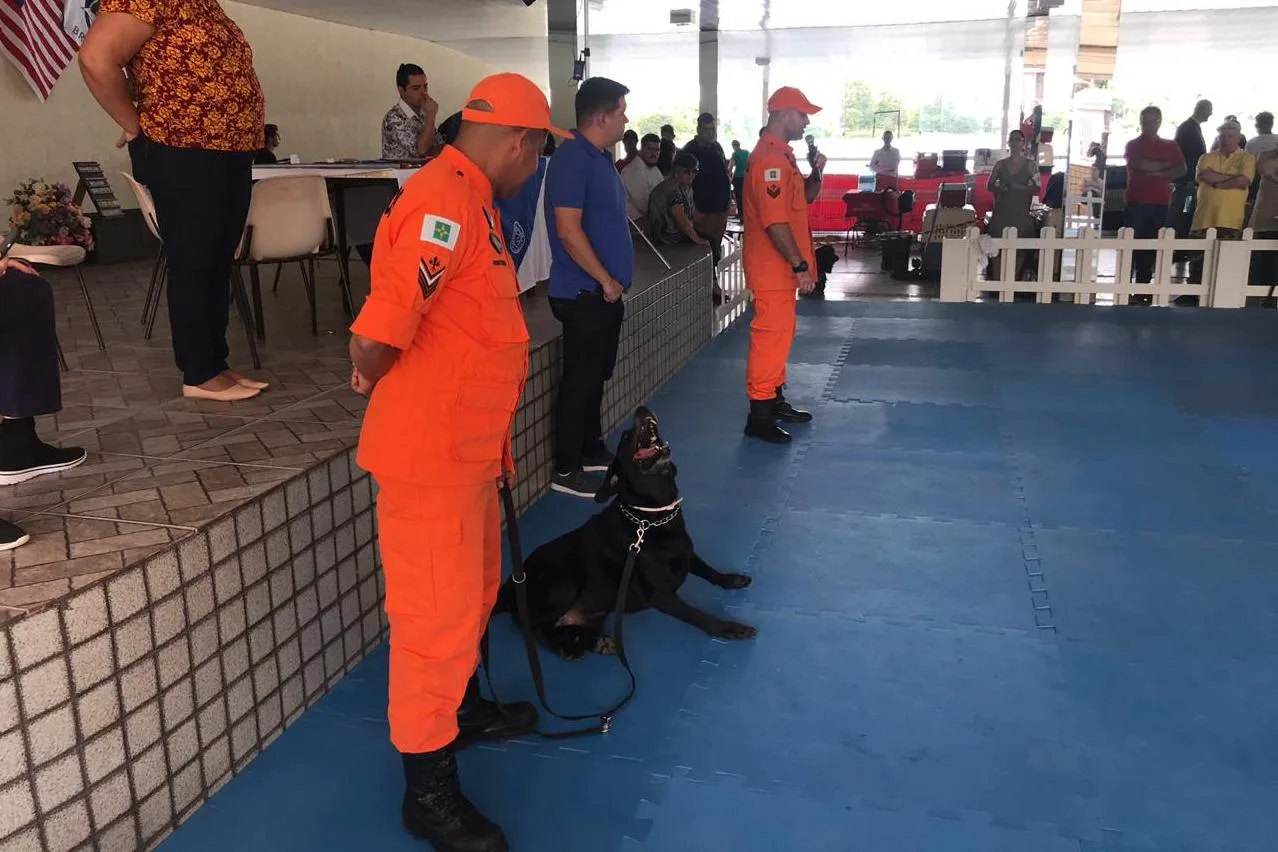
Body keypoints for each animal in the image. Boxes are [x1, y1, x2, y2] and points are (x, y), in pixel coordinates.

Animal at [495, 406, 756, 659]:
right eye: (625, 437)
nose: (641, 408)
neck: (651, 517)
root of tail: (509, 586)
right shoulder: (661, 595)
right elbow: (698, 615)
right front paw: (730, 628)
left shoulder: (686, 554)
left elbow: (710, 571)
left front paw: (732, 579)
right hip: (564, 582)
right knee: (536, 627)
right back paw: (568, 649)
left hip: (596, 607)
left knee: (568, 627)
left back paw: (596, 643)